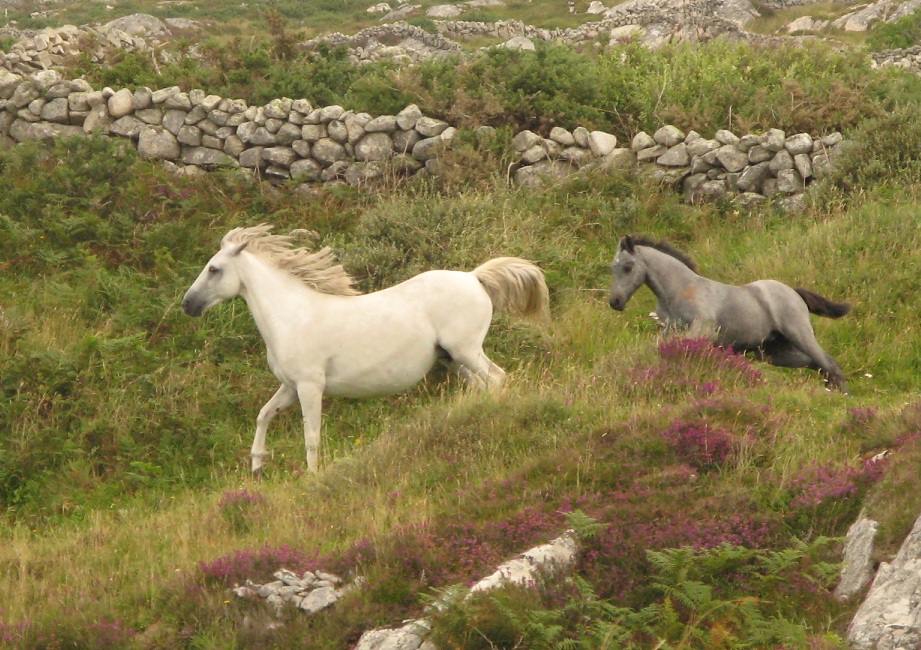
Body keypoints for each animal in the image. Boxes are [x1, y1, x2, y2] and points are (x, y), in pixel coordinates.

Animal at [183, 225, 548, 474]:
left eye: (214, 269)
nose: (188, 305)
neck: (293, 316)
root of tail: (474, 277)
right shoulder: (289, 386)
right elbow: (264, 414)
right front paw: (257, 465)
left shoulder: (310, 386)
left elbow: (311, 435)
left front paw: (312, 477)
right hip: (454, 360)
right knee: (482, 386)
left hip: (467, 351)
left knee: (498, 379)